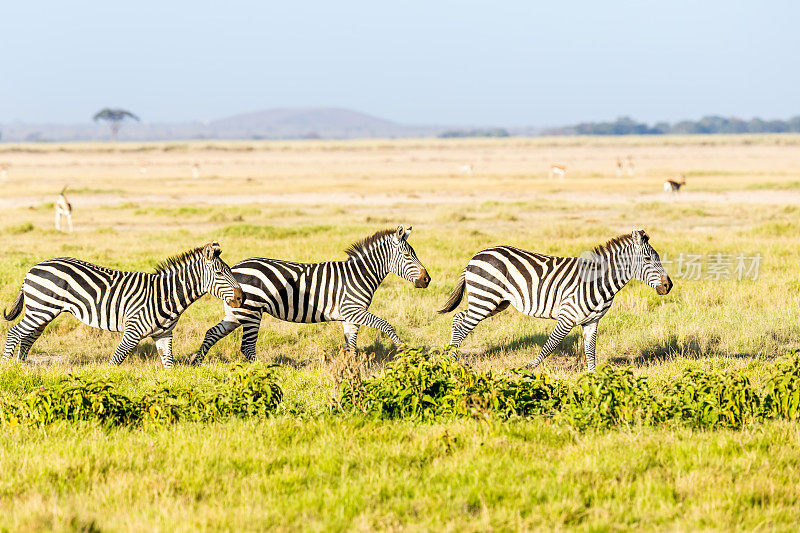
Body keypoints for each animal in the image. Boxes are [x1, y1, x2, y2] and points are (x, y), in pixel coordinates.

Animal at [2, 240, 244, 366]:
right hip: (41, 309)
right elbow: (115, 361)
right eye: (220, 273)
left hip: (43, 311)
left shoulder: (164, 334)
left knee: (28, 337)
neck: (166, 294)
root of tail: (33, 267)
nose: (241, 298)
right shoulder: (133, 331)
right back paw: (8, 367)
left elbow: (169, 365)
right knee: (15, 332)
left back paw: (21, 367)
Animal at [189, 222, 432, 364]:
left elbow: (351, 344)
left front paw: (352, 368)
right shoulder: (353, 310)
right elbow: (386, 325)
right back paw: (261, 371)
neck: (359, 274)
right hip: (252, 312)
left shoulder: (350, 316)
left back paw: (196, 361)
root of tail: (234, 268)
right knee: (247, 347)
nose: (427, 280)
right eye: (408, 256)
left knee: (212, 333)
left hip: (236, 311)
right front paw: (403, 350)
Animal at [440, 229, 672, 370]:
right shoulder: (567, 316)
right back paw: (451, 360)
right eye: (648, 259)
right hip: (485, 298)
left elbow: (590, 351)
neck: (598, 281)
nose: (668, 286)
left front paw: (594, 379)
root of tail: (476, 255)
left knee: (458, 319)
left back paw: (452, 357)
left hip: (495, 302)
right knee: (463, 324)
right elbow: (550, 345)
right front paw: (528, 369)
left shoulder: (592, 321)